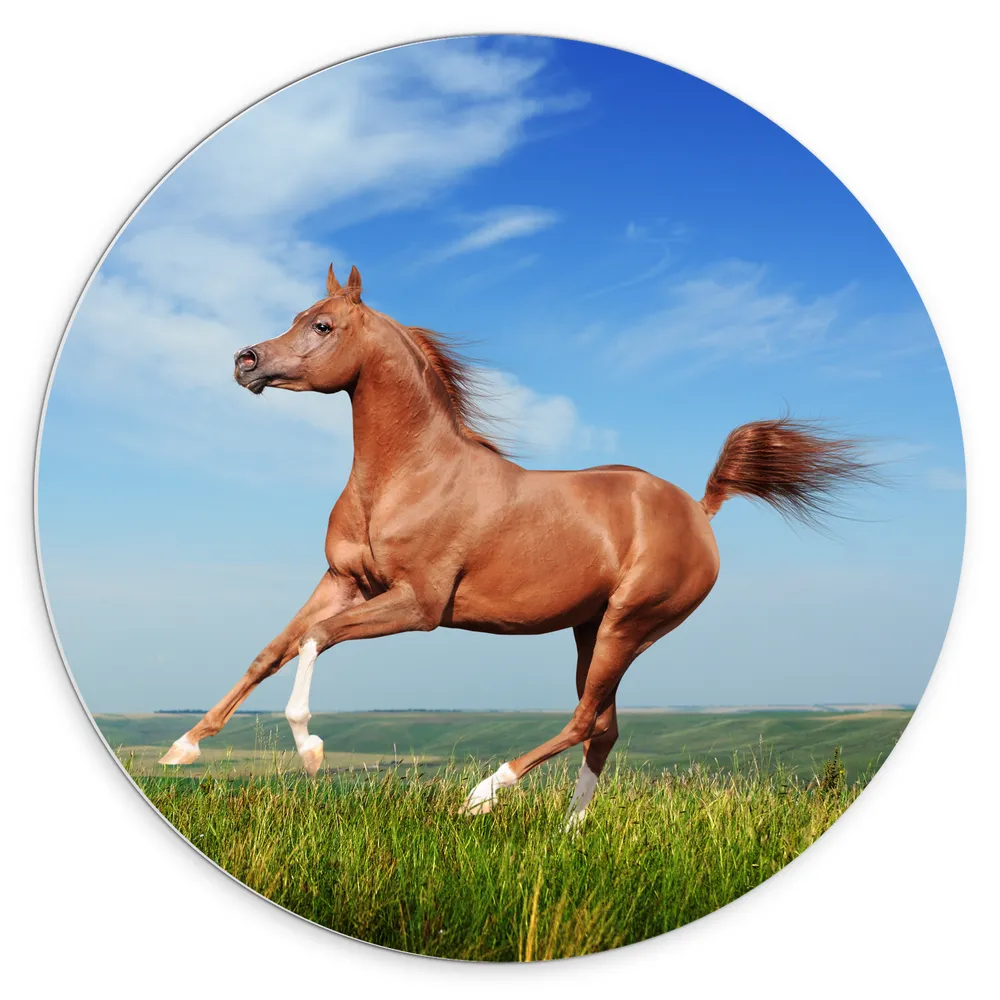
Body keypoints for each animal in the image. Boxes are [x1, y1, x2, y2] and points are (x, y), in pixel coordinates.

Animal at [159, 264, 874, 827]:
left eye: (324, 326)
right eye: (297, 317)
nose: (245, 362)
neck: (408, 475)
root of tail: (699, 510)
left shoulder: (417, 606)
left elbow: (314, 639)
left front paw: (310, 751)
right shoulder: (342, 581)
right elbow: (271, 650)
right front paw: (182, 749)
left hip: (629, 624)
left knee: (584, 720)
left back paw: (484, 795)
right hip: (591, 629)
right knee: (604, 729)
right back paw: (568, 834)